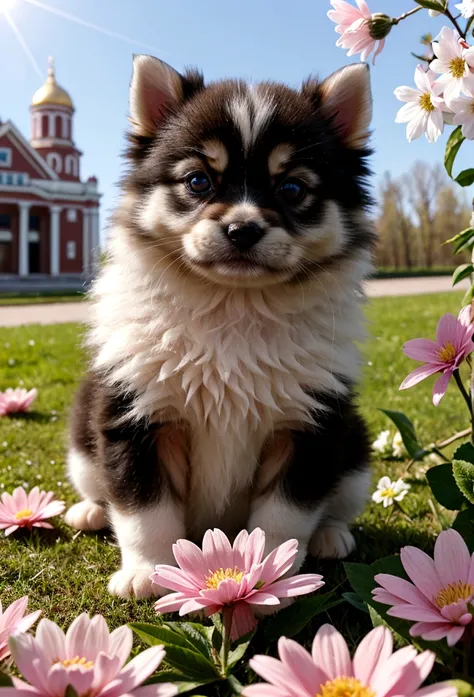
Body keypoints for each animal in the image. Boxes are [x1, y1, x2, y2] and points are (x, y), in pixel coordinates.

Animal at [65, 54, 374, 600]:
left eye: (292, 188)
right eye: (197, 182)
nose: (242, 228)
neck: (234, 306)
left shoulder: (310, 424)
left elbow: (284, 518)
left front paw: (270, 577)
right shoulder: (134, 415)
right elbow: (145, 510)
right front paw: (148, 570)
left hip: (355, 447)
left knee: (339, 501)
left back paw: (332, 535)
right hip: (83, 442)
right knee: (97, 488)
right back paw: (88, 511)